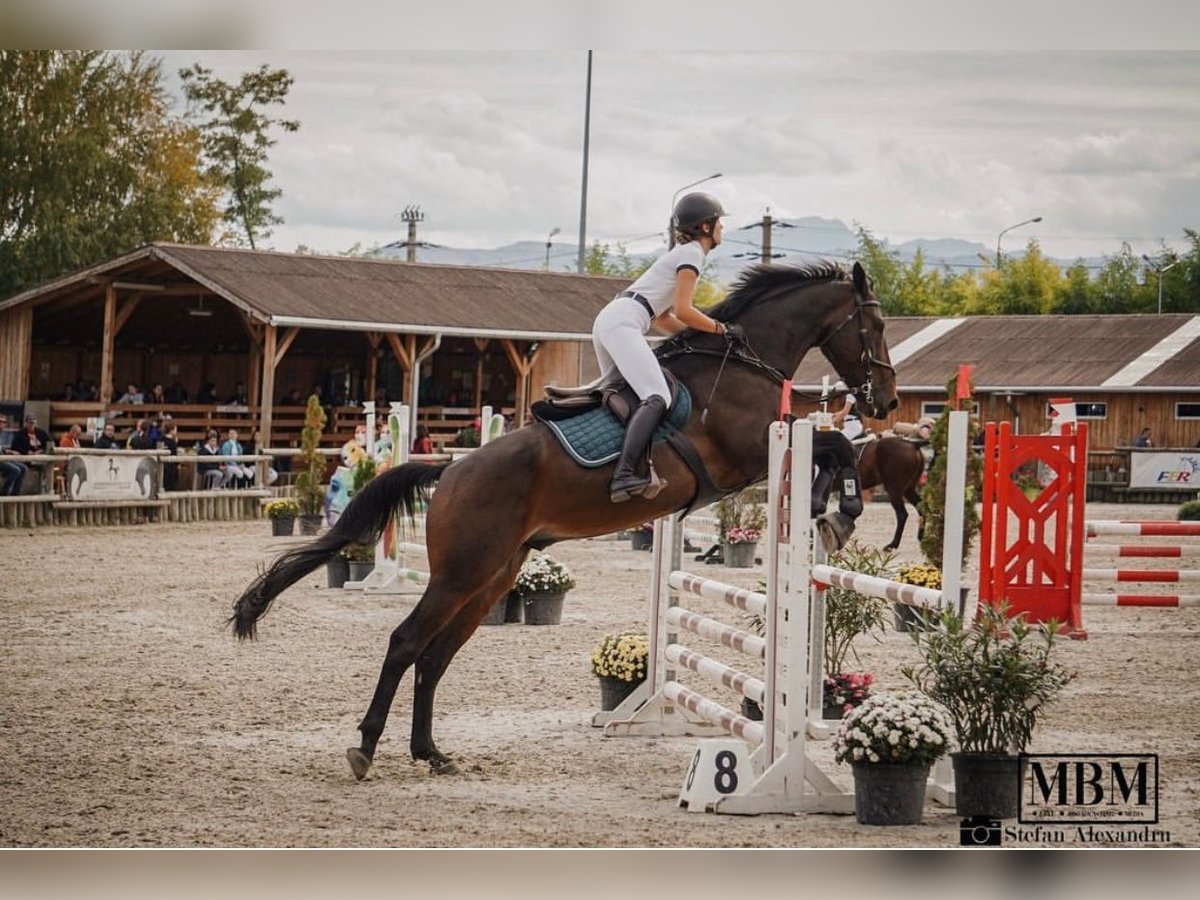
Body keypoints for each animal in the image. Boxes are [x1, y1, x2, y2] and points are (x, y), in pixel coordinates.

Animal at [229, 262, 897, 782]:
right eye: (876, 326)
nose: (886, 401)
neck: (742, 362)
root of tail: (450, 470)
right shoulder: (750, 452)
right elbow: (835, 442)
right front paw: (837, 509)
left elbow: (838, 446)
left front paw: (834, 511)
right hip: (460, 573)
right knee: (405, 643)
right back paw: (366, 748)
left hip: (491, 579)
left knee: (434, 656)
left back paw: (431, 752)